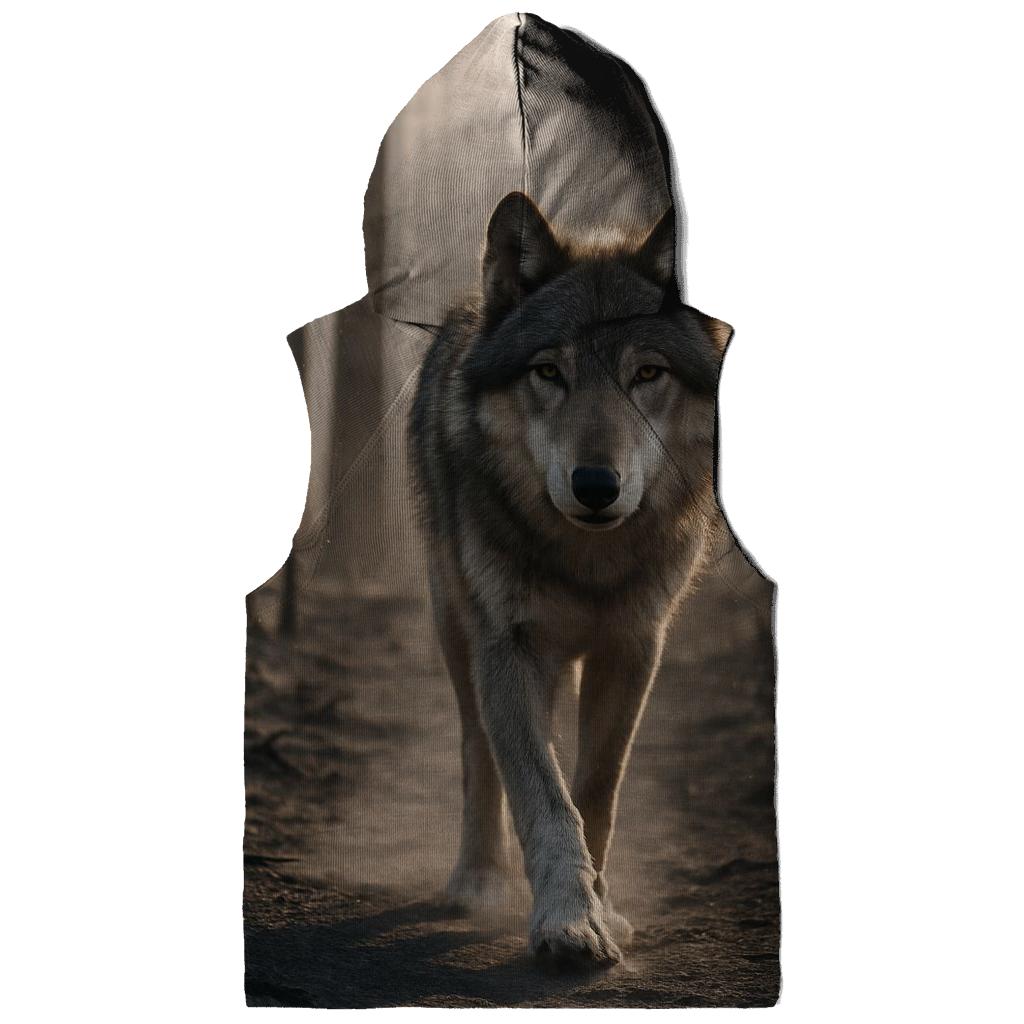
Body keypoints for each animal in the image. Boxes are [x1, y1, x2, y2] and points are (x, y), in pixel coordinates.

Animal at [408, 191, 732, 967]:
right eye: (549, 372)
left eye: (647, 374)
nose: (595, 485)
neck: (588, 561)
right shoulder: (511, 648)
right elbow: (545, 798)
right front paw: (567, 920)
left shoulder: (633, 649)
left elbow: (596, 794)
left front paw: (602, 910)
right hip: (459, 631)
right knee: (477, 753)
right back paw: (478, 881)